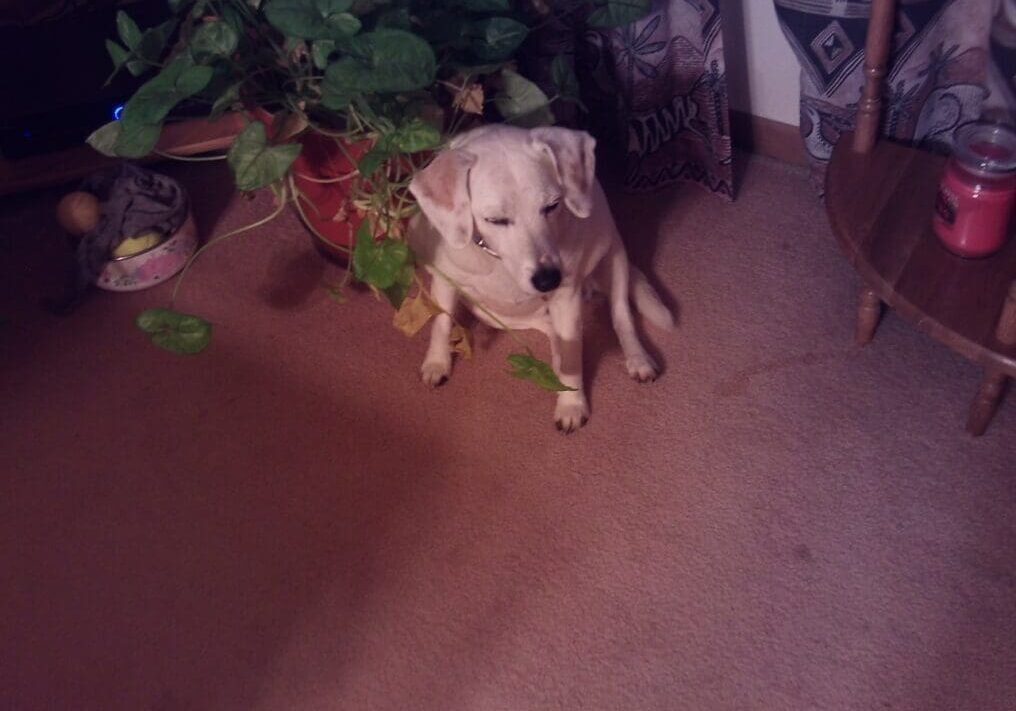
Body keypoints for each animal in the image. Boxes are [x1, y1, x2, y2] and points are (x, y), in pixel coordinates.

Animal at [404, 124, 674, 430]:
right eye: (495, 220)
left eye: (553, 205)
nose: (548, 280)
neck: (498, 263)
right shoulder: (445, 282)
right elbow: (441, 324)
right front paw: (437, 363)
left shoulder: (566, 298)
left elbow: (574, 354)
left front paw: (571, 403)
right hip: (494, 313)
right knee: (551, 331)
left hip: (615, 262)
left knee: (621, 318)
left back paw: (637, 359)